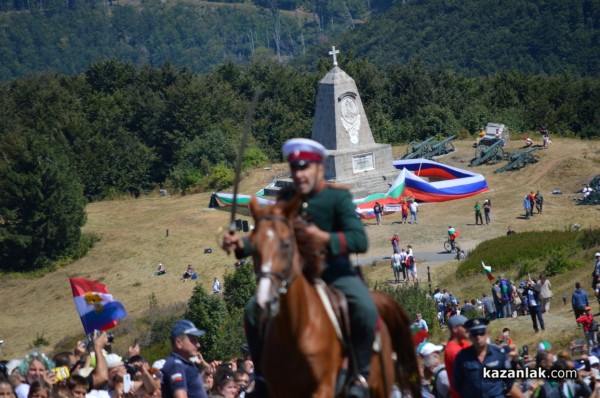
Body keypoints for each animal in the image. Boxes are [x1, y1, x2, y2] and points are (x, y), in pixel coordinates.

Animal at [246, 197, 420, 398]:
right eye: (253, 247)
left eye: (286, 244)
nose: (265, 302)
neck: (294, 330)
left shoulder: (323, 388)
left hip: (379, 386)